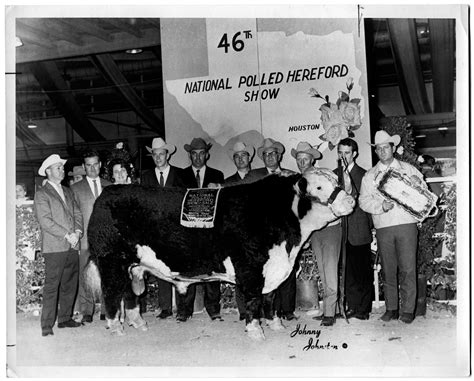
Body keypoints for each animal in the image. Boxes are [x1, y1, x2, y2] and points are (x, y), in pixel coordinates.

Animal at [85, 168, 354, 340]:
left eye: (336, 180)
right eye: (319, 186)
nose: (351, 201)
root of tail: (105, 194)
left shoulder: (273, 268)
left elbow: (270, 298)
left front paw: (274, 324)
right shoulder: (251, 268)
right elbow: (254, 299)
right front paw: (256, 331)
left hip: (134, 266)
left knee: (129, 295)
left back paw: (139, 323)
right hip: (112, 262)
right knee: (112, 293)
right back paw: (116, 328)